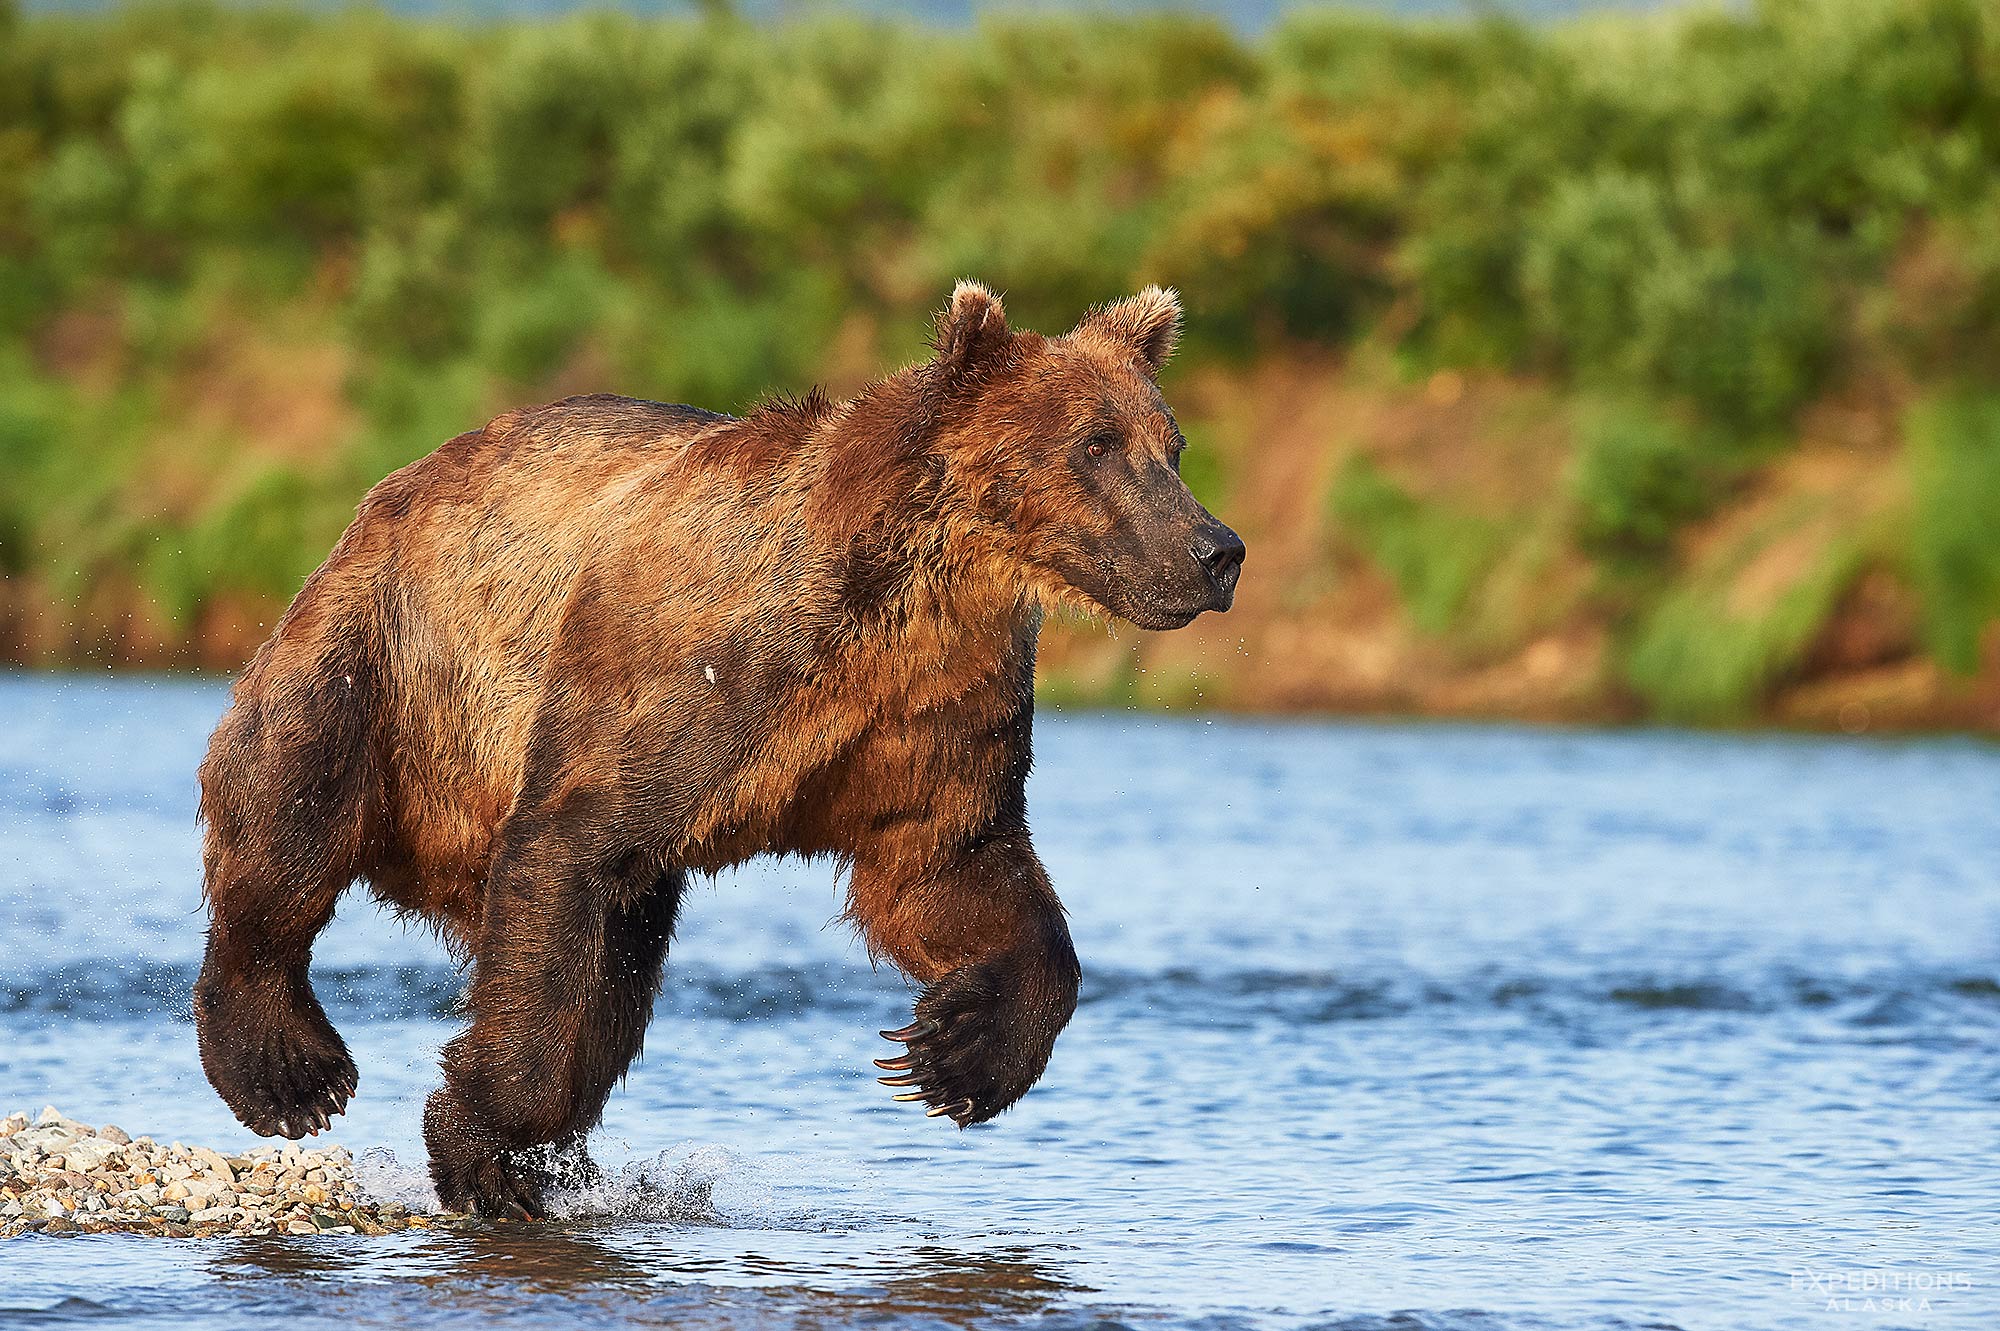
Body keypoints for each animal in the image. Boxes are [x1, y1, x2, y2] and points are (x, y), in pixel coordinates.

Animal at [191, 282, 1245, 1218]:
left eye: (1171, 445)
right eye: (1095, 444)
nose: (1217, 550)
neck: (910, 596)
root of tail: (401, 479)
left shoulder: (931, 714)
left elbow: (949, 866)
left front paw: (955, 1053)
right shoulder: (691, 681)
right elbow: (569, 852)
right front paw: (477, 1149)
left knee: (618, 977)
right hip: (382, 656)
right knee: (290, 820)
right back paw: (288, 1071)